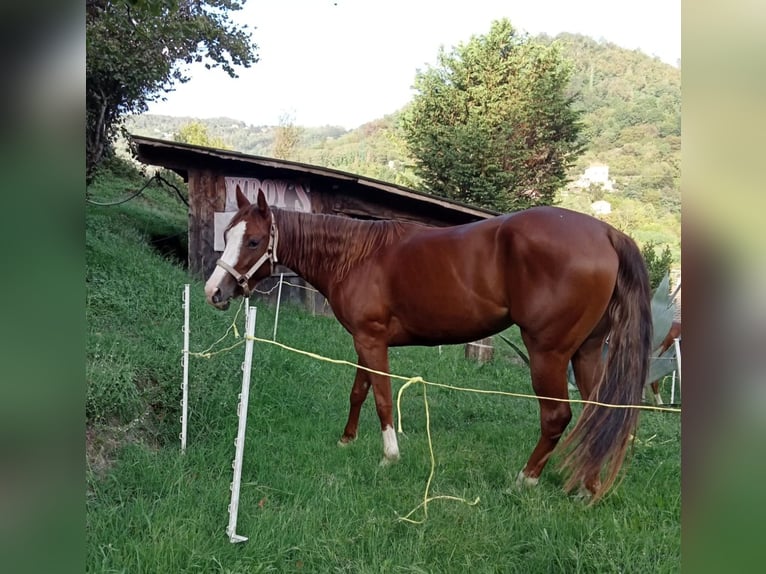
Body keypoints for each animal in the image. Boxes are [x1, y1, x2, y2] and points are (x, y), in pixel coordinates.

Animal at [204, 187, 652, 502]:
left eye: (254, 241)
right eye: (227, 233)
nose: (214, 291)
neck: (358, 256)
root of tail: (607, 233)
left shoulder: (371, 340)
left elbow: (382, 396)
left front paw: (389, 456)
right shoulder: (364, 340)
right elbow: (359, 390)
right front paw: (347, 441)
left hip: (549, 354)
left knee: (558, 417)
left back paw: (525, 480)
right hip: (587, 352)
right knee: (599, 415)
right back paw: (588, 485)